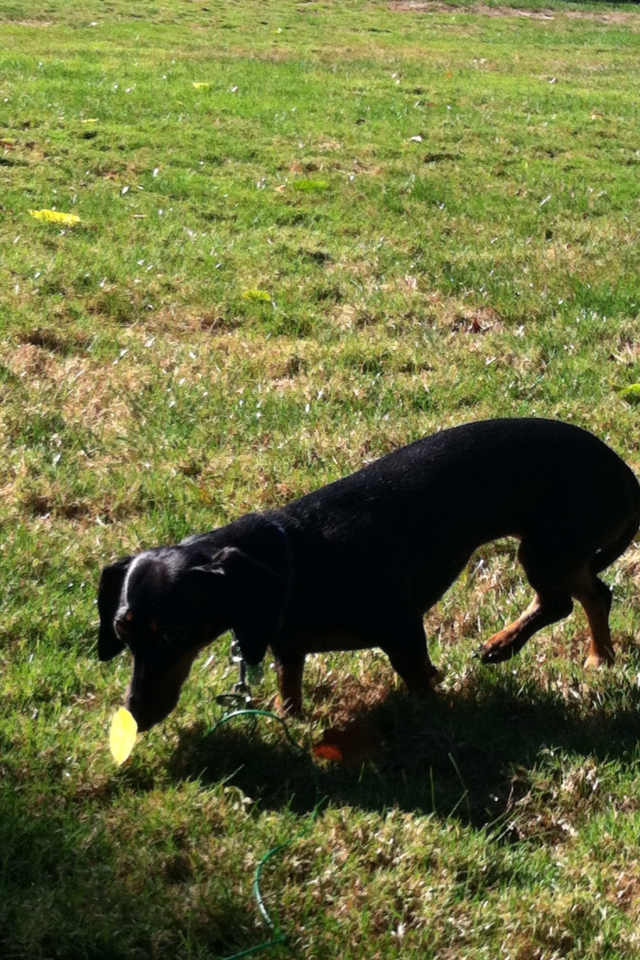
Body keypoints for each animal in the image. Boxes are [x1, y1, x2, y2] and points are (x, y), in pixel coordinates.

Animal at [98, 418, 640, 731]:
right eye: (122, 631)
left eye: (173, 632)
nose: (134, 716)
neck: (297, 554)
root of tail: (622, 469)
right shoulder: (286, 646)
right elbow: (289, 688)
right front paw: (289, 723)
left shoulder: (402, 629)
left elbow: (420, 681)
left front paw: (432, 722)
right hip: (561, 550)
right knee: (597, 594)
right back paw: (600, 656)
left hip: (545, 548)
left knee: (561, 602)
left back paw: (502, 644)